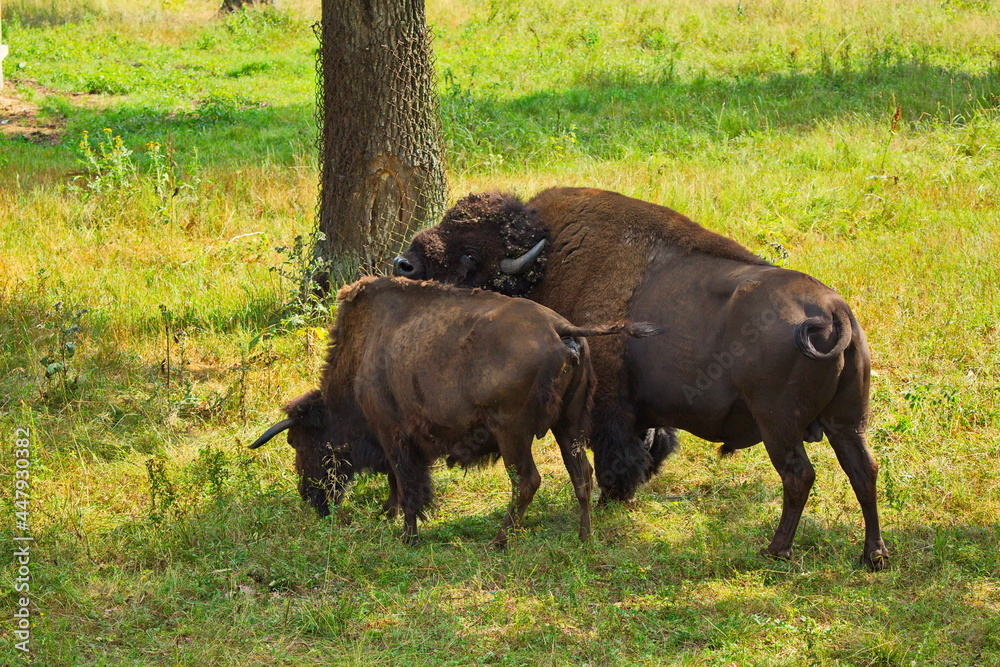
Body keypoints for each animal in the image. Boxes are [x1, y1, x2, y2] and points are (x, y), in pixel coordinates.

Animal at [248, 276, 656, 548]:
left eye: (302, 443)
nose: (311, 498)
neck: (362, 356)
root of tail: (561, 327)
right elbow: (398, 480)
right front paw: (387, 514)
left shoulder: (394, 435)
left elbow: (408, 482)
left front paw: (408, 536)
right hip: (567, 425)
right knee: (581, 474)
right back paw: (584, 538)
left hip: (512, 434)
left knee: (527, 481)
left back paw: (498, 541)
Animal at [390, 187, 892, 568]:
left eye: (470, 254)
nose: (404, 265)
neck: (548, 261)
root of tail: (833, 310)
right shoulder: (646, 409)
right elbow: (650, 443)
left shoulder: (609, 402)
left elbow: (615, 449)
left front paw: (616, 497)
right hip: (847, 421)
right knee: (863, 471)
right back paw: (873, 556)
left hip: (778, 424)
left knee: (799, 476)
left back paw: (776, 550)